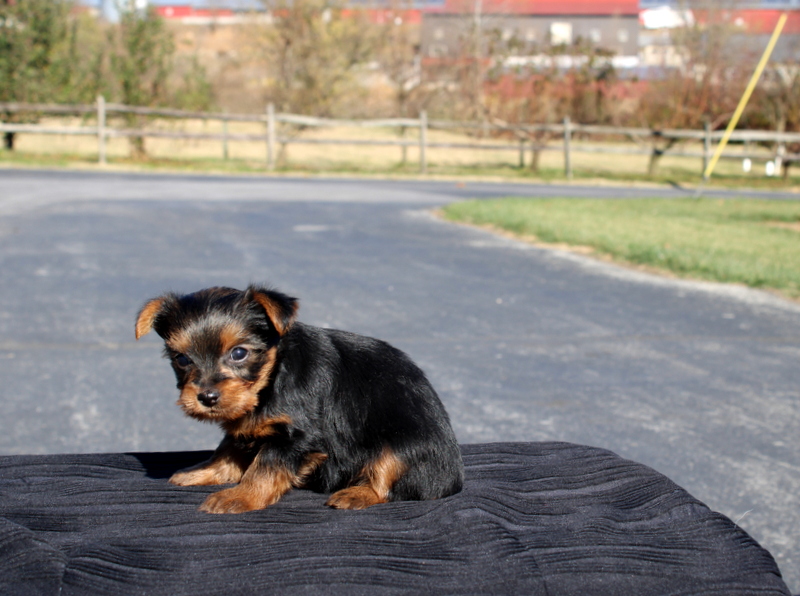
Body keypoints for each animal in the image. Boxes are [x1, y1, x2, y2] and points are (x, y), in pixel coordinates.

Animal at [135, 284, 466, 512]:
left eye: (239, 353)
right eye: (181, 359)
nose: (207, 396)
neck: (271, 378)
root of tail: (453, 478)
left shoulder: (297, 436)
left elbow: (264, 466)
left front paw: (240, 496)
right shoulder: (244, 426)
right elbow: (228, 451)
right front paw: (202, 472)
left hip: (402, 445)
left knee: (390, 476)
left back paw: (356, 493)